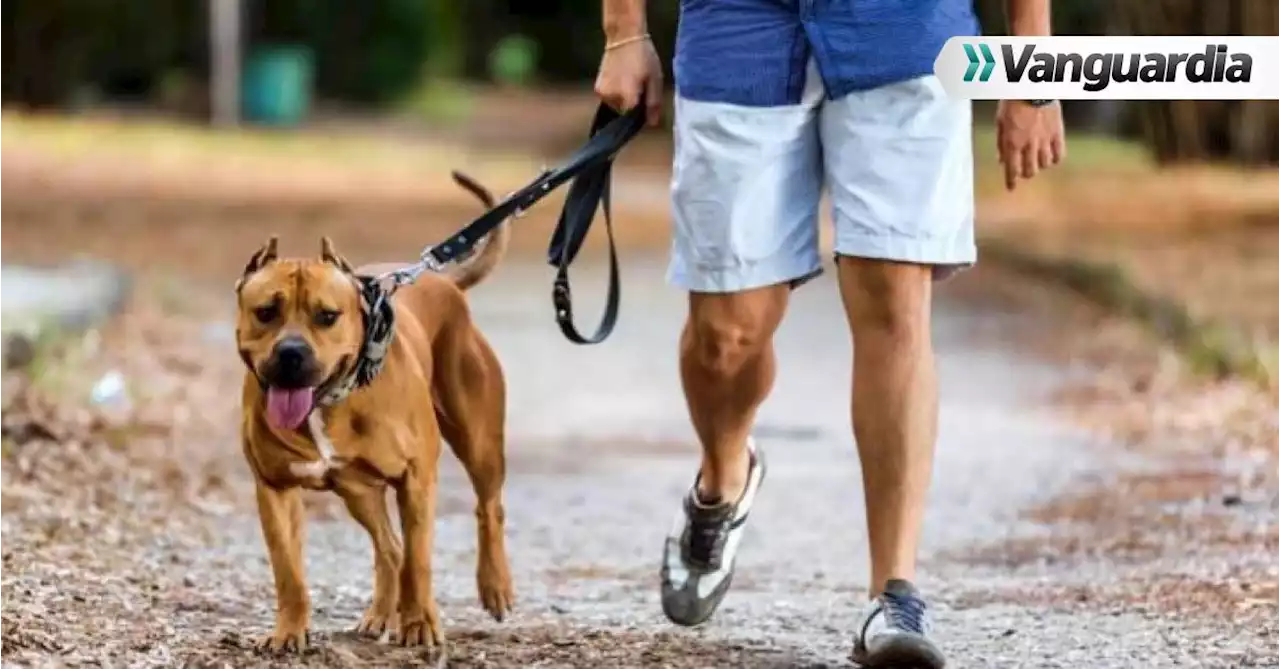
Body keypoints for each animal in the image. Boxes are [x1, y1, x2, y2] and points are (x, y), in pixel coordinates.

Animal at [238, 171, 517, 654]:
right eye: (266, 312)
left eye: (327, 316)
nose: (291, 353)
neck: (329, 403)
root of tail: (443, 283)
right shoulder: (275, 488)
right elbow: (288, 571)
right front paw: (288, 631)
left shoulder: (417, 478)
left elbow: (420, 560)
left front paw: (420, 624)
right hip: (358, 491)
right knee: (390, 547)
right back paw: (381, 614)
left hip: (479, 444)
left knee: (488, 509)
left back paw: (494, 586)